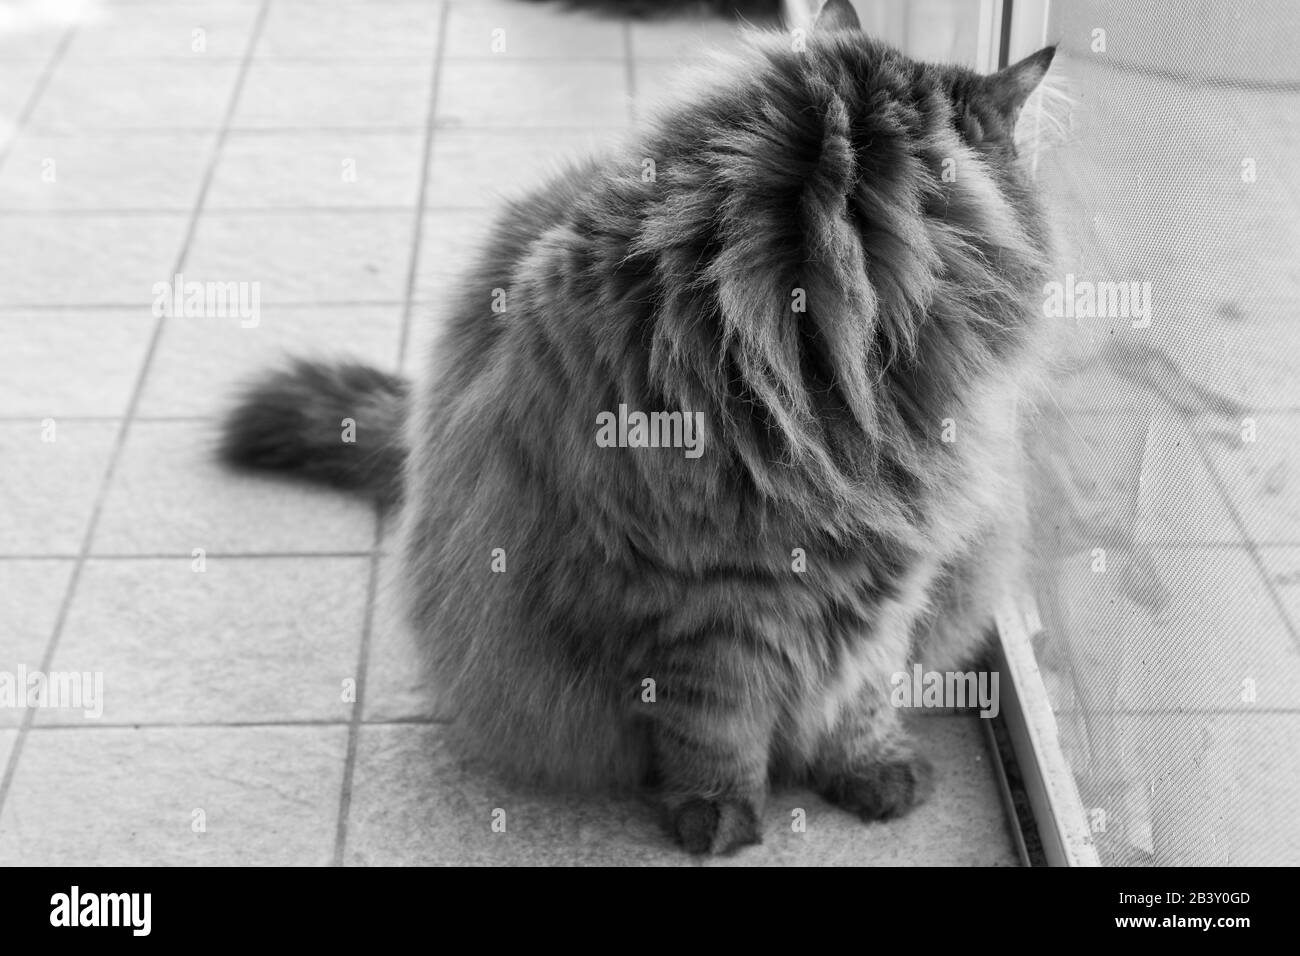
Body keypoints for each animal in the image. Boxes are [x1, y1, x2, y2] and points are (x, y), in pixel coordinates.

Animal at [220, 0, 1055, 853]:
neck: (820, 369)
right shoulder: (697, 602)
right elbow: (715, 722)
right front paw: (717, 814)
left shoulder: (894, 575)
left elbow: (860, 694)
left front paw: (871, 770)